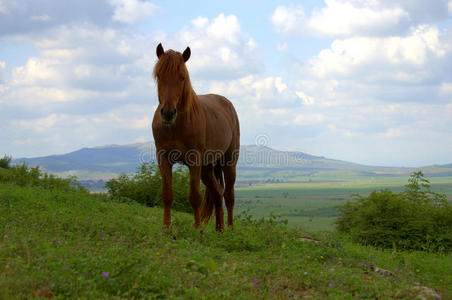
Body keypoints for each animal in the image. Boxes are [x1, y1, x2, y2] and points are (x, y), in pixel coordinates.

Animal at [152, 42, 240, 232]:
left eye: (182, 77)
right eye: (159, 76)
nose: (168, 113)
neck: (176, 126)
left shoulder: (194, 161)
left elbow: (194, 197)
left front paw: (197, 228)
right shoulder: (163, 158)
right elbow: (167, 195)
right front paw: (166, 228)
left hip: (228, 162)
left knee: (228, 195)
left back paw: (230, 229)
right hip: (207, 168)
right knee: (217, 193)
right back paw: (219, 229)